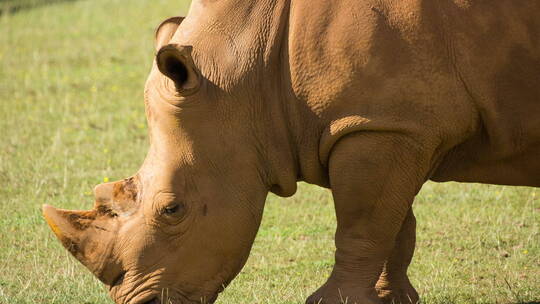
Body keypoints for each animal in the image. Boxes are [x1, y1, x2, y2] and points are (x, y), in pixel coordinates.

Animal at [42, 0, 540, 302]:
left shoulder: (376, 124)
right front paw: (391, 299)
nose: (137, 302)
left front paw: (331, 302)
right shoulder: (392, 124)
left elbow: (361, 224)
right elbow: (396, 223)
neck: (246, 75)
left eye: (173, 209)